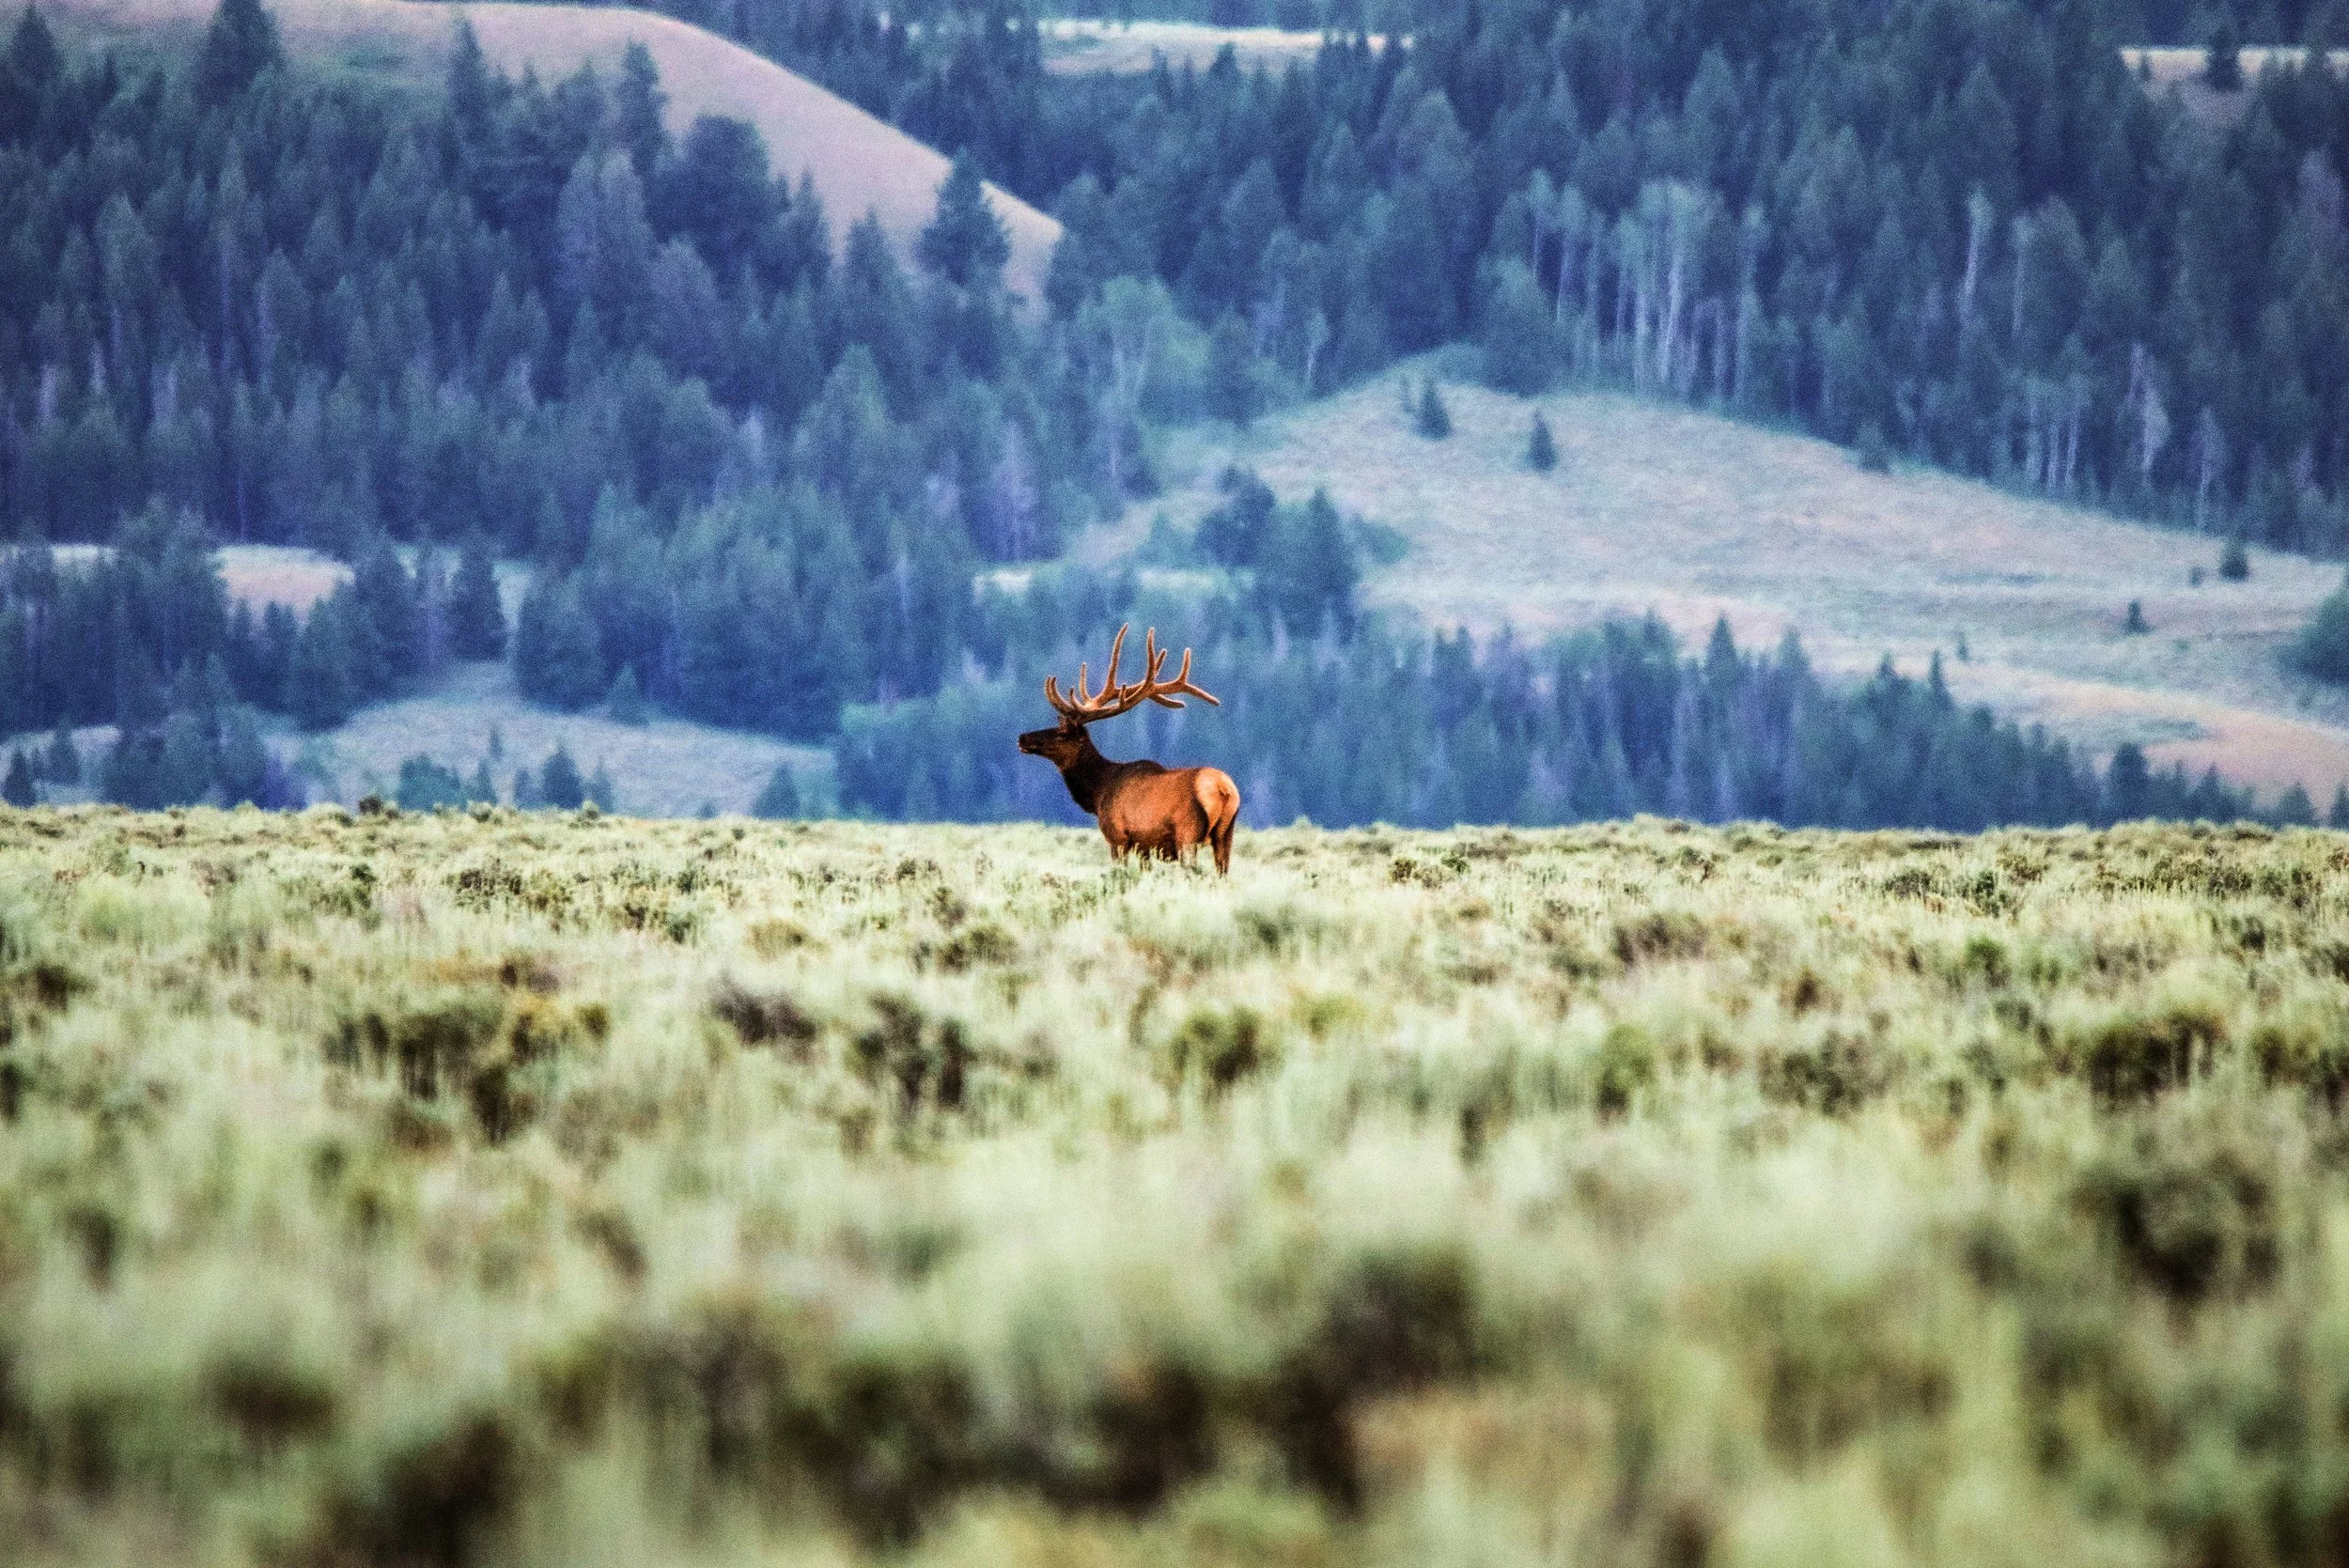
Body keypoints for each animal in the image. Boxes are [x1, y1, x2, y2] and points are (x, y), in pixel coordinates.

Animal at [1018, 624, 1242, 874]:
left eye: (1061, 733)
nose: (1023, 737)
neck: (1098, 793)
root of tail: (1224, 789)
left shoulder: (1118, 836)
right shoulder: (1144, 845)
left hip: (1188, 832)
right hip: (1226, 834)